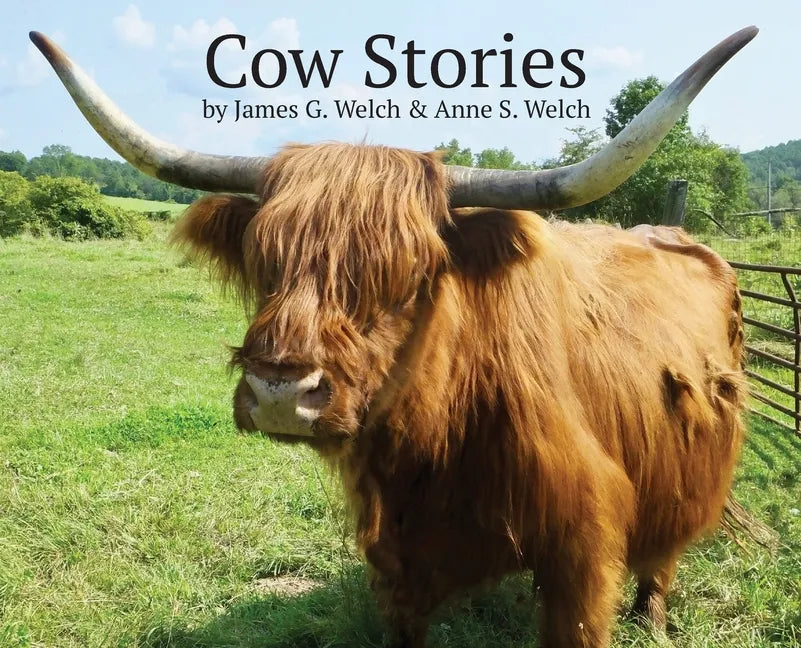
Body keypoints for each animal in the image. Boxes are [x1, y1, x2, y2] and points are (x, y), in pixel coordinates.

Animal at [31, 26, 757, 648]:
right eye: (265, 264)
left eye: (409, 276)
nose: (279, 394)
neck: (439, 441)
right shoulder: (395, 555)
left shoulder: (581, 553)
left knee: (665, 549)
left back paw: (651, 616)